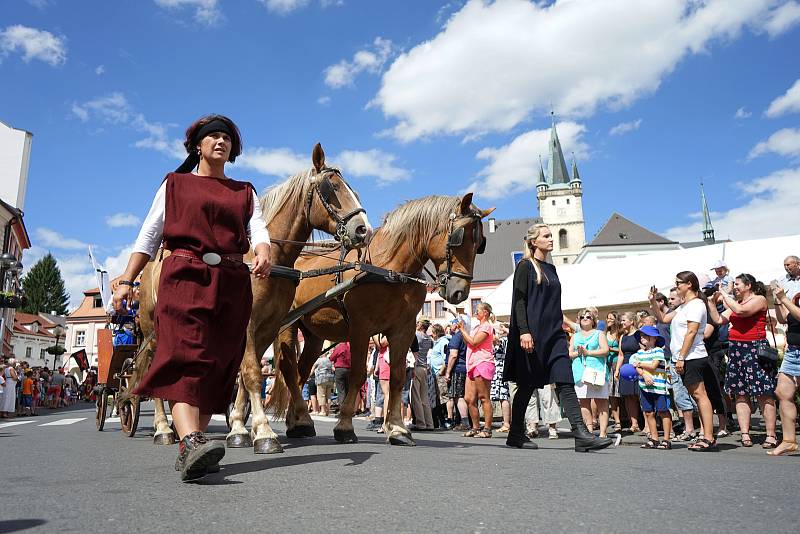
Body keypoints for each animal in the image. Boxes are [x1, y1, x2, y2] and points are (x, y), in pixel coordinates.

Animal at [134, 143, 372, 452]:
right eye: (332, 187)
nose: (363, 229)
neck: (269, 257)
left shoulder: (267, 326)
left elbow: (249, 372)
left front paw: (239, 427)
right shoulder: (246, 323)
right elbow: (251, 373)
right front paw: (264, 432)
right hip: (153, 327)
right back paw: (163, 427)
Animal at [268, 195, 494, 446]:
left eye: (480, 243)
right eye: (458, 238)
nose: (459, 292)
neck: (390, 270)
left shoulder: (403, 330)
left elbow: (397, 376)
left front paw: (397, 428)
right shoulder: (360, 329)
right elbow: (357, 375)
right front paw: (345, 426)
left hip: (314, 335)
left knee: (302, 372)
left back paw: (298, 421)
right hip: (288, 327)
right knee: (289, 370)